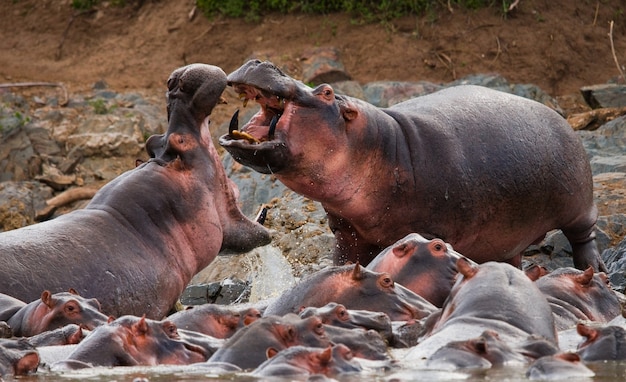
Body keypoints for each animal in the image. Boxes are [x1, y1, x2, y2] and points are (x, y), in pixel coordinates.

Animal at [221, 59, 604, 272]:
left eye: (327, 91)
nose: (259, 61)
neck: (385, 147)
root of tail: (560, 117)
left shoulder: (432, 228)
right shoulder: (346, 230)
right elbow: (344, 261)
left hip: (578, 201)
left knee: (583, 234)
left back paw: (593, 268)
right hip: (504, 238)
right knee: (510, 256)